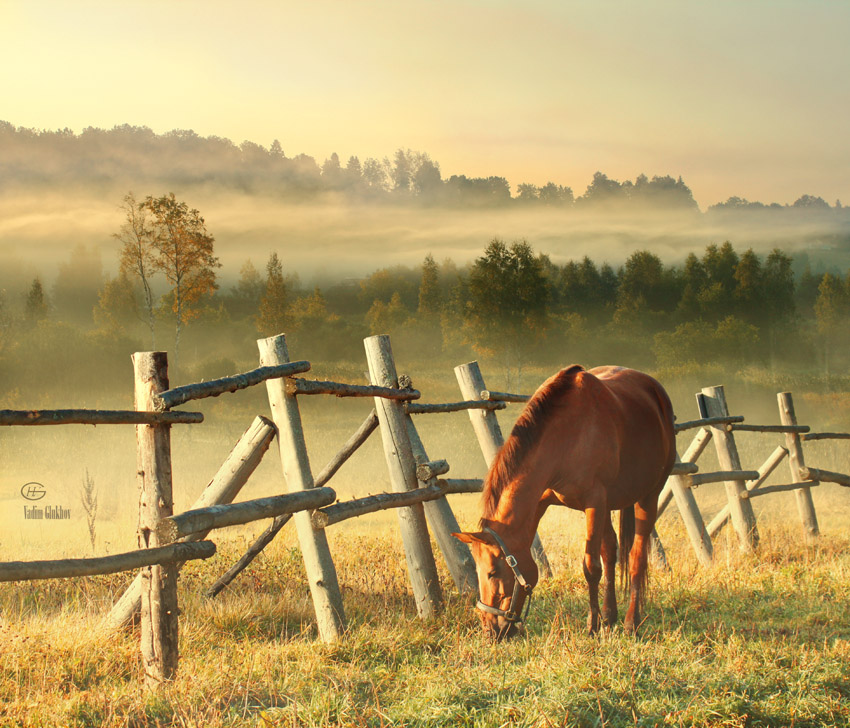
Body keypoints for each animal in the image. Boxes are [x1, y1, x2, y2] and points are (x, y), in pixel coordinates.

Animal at [450, 364, 676, 636]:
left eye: (493, 572)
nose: (490, 629)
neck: (565, 437)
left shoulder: (594, 503)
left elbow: (591, 568)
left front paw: (592, 625)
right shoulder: (547, 501)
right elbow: (602, 558)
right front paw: (600, 620)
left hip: (648, 496)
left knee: (636, 557)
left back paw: (632, 621)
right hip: (609, 505)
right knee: (611, 552)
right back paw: (610, 615)